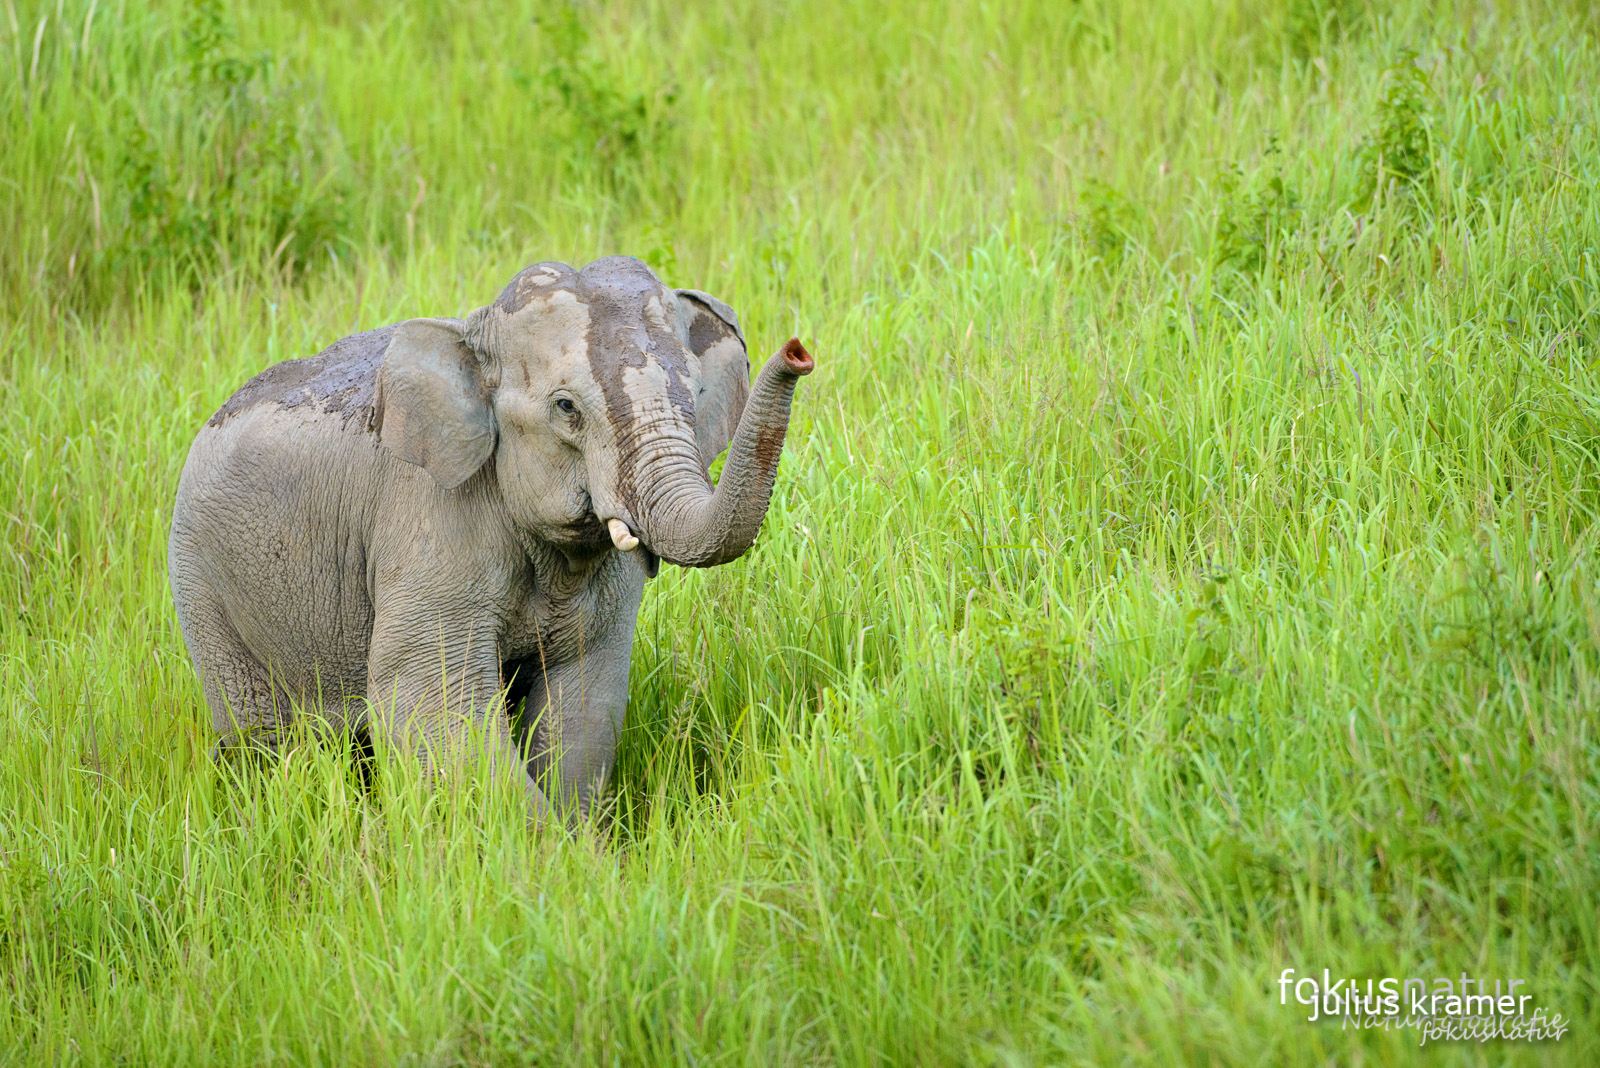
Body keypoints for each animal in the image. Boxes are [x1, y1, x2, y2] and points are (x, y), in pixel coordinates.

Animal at [165, 254, 812, 824]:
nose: (798, 352)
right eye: (566, 406)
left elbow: (582, 710)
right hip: (202, 580)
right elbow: (430, 706)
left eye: (695, 395)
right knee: (262, 741)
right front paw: (559, 860)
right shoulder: (429, 521)